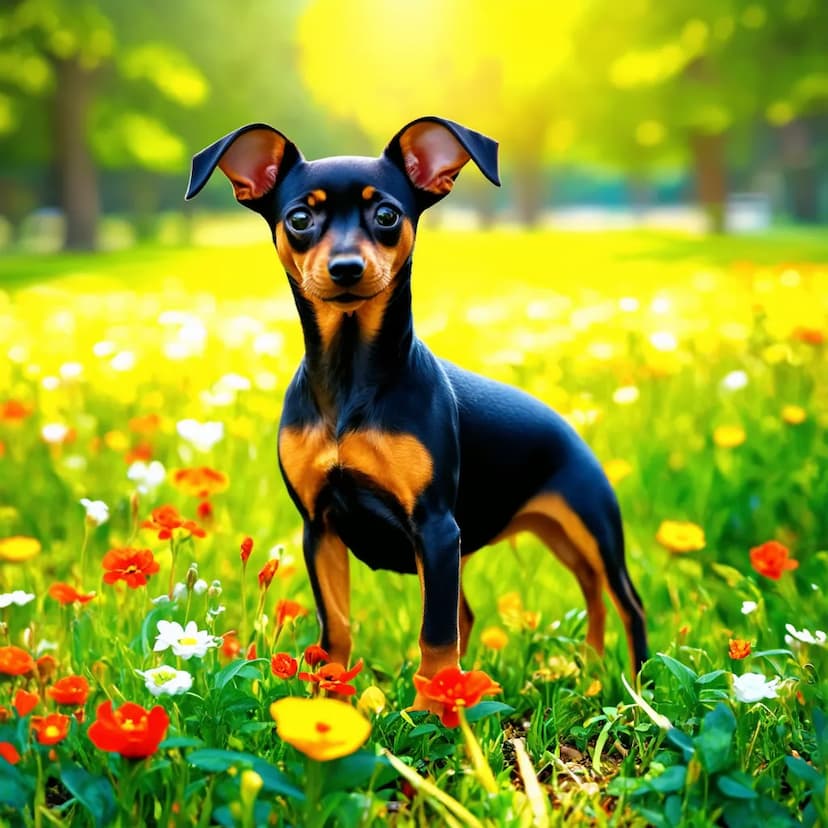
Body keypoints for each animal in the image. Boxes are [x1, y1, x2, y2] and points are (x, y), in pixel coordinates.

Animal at [188, 116, 648, 712]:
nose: (345, 267)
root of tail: (570, 427)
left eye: (386, 215)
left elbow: (435, 633)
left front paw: (429, 715)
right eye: (299, 218)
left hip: (590, 526)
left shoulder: (435, 527)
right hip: (530, 540)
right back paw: (588, 669)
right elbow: (336, 631)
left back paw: (638, 688)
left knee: (623, 602)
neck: (351, 379)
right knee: (560, 598)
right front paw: (331, 705)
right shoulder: (320, 528)